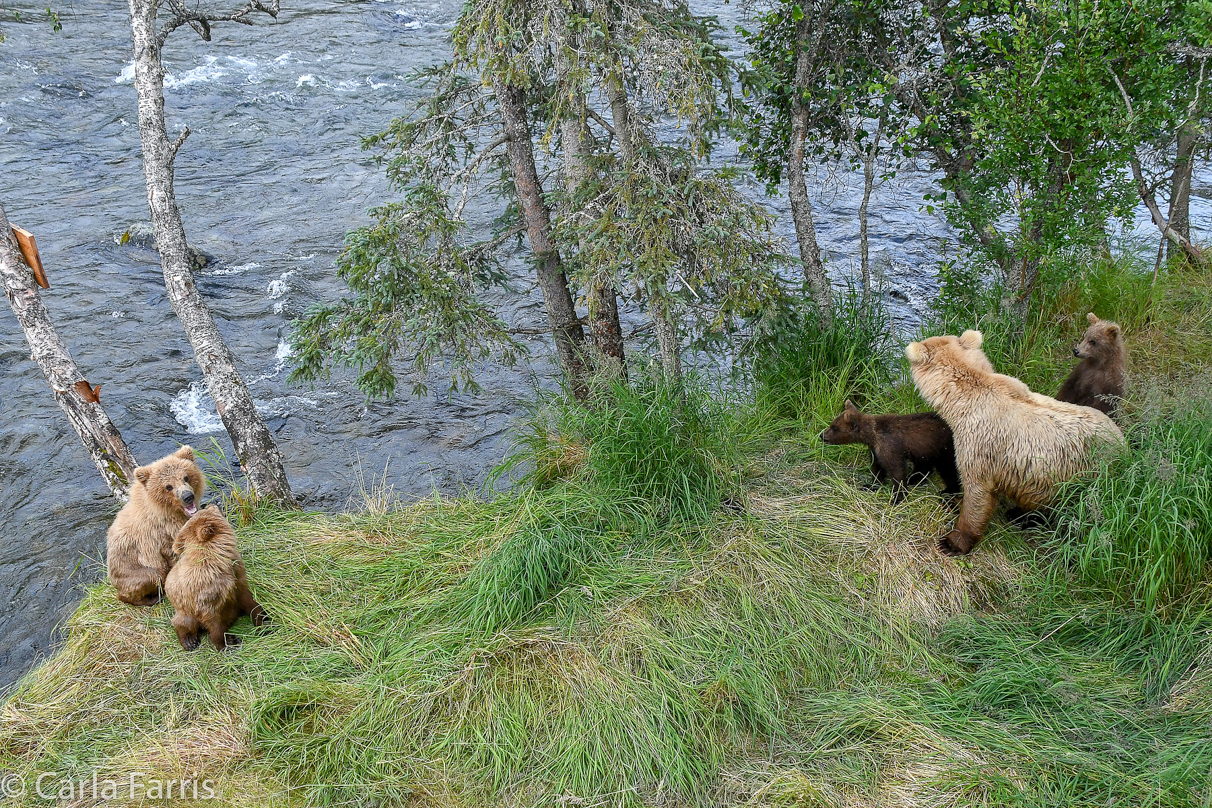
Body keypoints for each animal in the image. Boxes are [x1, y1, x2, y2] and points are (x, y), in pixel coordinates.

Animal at [109, 448, 206, 605]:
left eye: (186, 477)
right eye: (168, 486)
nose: (187, 496)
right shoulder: (160, 535)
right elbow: (174, 553)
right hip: (131, 572)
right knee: (152, 577)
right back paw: (153, 598)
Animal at [166, 508, 265, 654]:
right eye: (210, 510)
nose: (212, 505)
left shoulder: (237, 576)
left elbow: (248, 599)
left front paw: (264, 621)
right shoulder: (205, 594)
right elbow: (214, 623)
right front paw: (228, 642)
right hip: (184, 609)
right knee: (182, 622)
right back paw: (190, 641)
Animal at [819, 402, 959, 501]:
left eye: (834, 427)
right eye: (832, 424)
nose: (821, 435)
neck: (873, 435)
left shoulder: (890, 447)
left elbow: (896, 470)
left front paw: (898, 497)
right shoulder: (875, 449)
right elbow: (876, 467)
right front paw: (870, 485)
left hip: (945, 449)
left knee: (948, 470)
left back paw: (947, 491)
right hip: (925, 449)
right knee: (924, 466)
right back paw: (914, 478)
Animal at [906, 331, 1119, 559]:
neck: (963, 401)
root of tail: (1123, 445)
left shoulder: (981, 443)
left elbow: (977, 491)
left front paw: (952, 542)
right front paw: (952, 501)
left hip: (1087, 477)